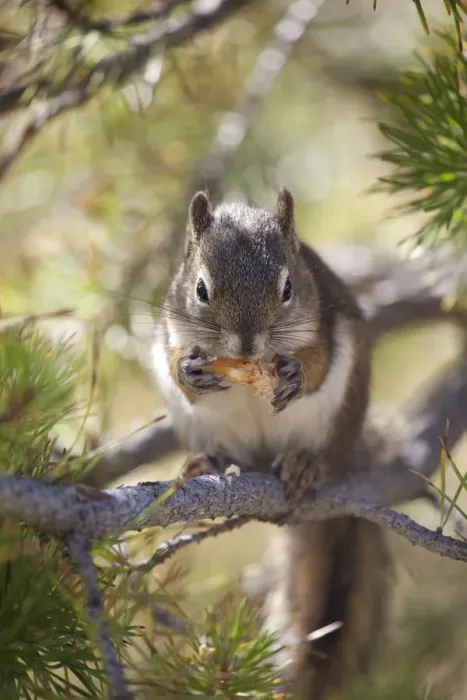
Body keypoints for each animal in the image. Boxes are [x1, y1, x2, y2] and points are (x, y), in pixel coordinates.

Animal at [152, 187, 390, 699]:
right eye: (200, 290)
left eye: (288, 289)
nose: (245, 345)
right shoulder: (169, 327)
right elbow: (177, 362)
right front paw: (189, 370)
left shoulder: (322, 320)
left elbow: (316, 362)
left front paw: (296, 374)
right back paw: (207, 461)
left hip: (340, 416)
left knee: (324, 454)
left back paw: (306, 466)